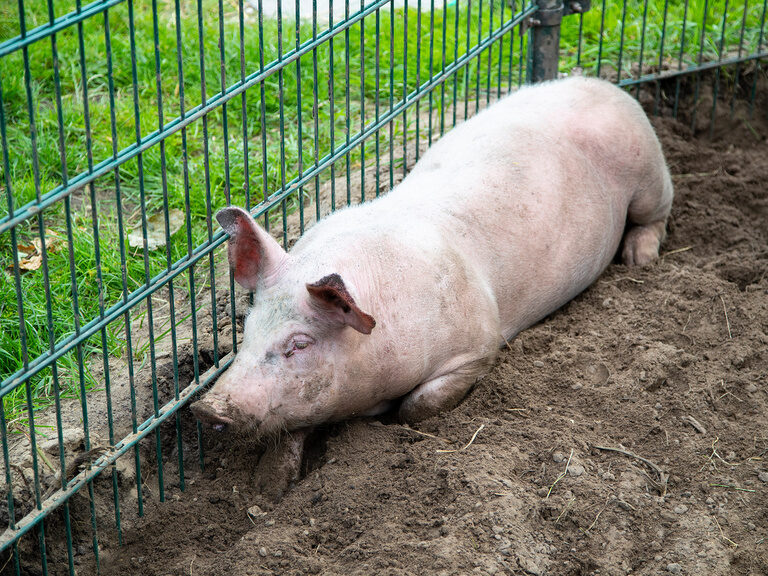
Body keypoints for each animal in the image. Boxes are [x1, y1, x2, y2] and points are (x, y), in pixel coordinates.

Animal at [190, 77, 673, 500]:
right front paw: (268, 489)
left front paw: (389, 421)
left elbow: (420, 404)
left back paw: (639, 258)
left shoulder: (479, 346)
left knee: (656, 215)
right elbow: (291, 428)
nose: (206, 408)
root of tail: (601, 84)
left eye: (300, 344)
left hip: (650, 175)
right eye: (248, 328)